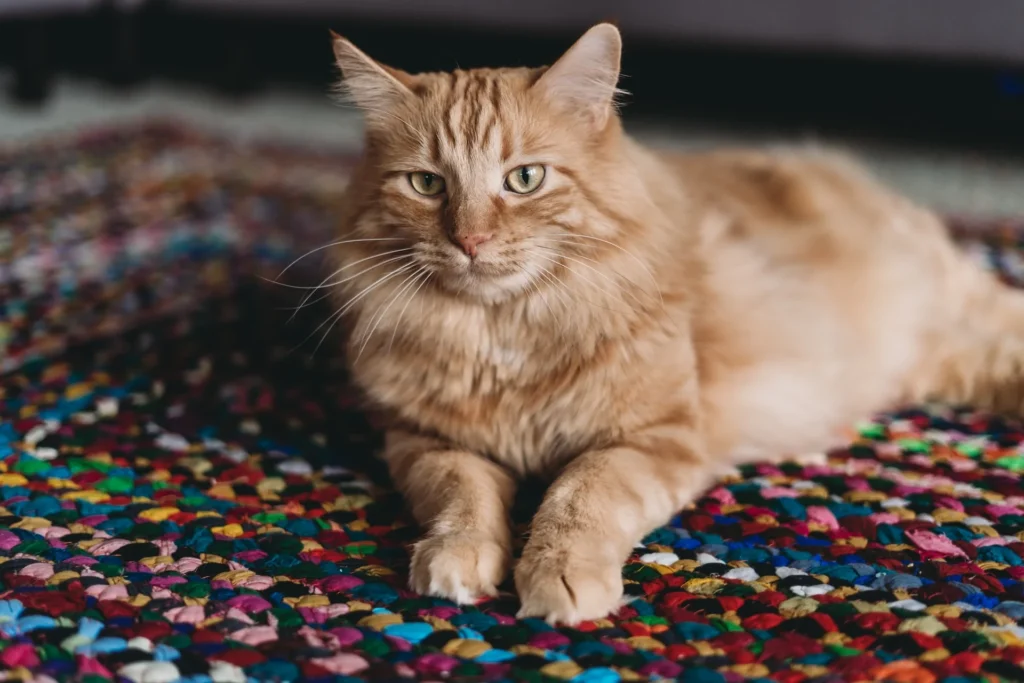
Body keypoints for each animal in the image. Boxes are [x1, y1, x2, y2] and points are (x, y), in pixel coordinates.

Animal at [323, 24, 1019, 626]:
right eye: (426, 184)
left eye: (524, 179)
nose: (470, 241)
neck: (504, 334)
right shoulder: (423, 442)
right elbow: (460, 497)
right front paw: (458, 557)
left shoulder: (655, 437)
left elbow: (579, 495)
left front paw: (559, 573)